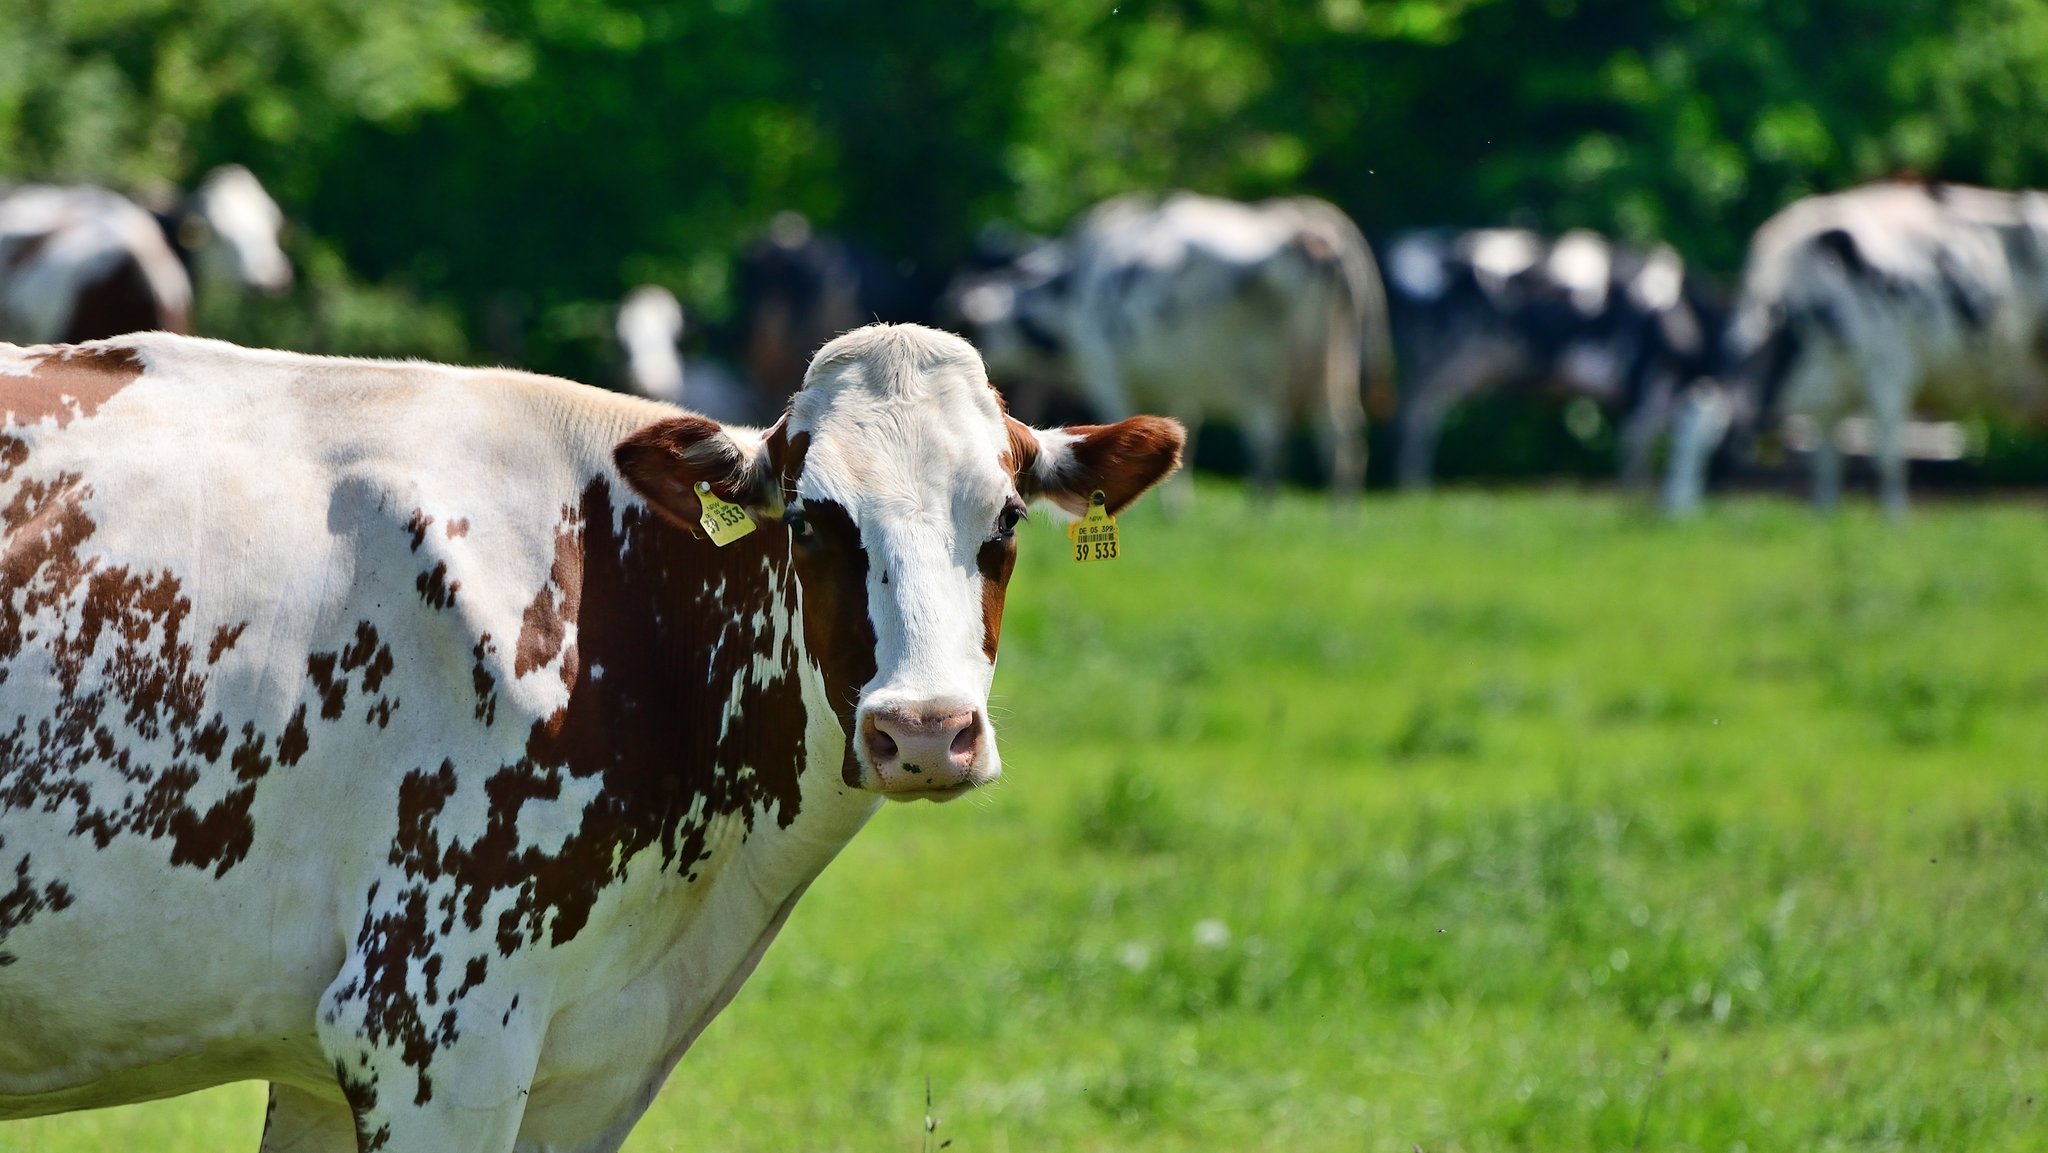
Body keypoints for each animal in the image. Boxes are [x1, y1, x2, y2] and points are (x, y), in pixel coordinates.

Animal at [950, 192, 1400, 505]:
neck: (1072, 288)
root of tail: (1311, 224)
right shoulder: (1178, 380)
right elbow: (1184, 434)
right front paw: (1175, 507)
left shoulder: (1106, 370)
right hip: (1334, 365)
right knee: (1341, 431)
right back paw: (1341, 516)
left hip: (1265, 373)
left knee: (1270, 434)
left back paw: (1261, 509)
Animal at [1376, 229, 1728, 491]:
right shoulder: (1650, 382)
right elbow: (1635, 446)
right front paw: (1635, 494)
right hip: (1441, 363)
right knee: (1416, 419)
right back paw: (1413, 488)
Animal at [1662, 179, 2048, 514]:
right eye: (1673, 444)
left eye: (1704, 448)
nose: (1671, 513)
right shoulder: (1827, 395)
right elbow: (1825, 466)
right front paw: (1825, 516)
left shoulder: (1890, 370)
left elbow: (1888, 457)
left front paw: (1895, 519)